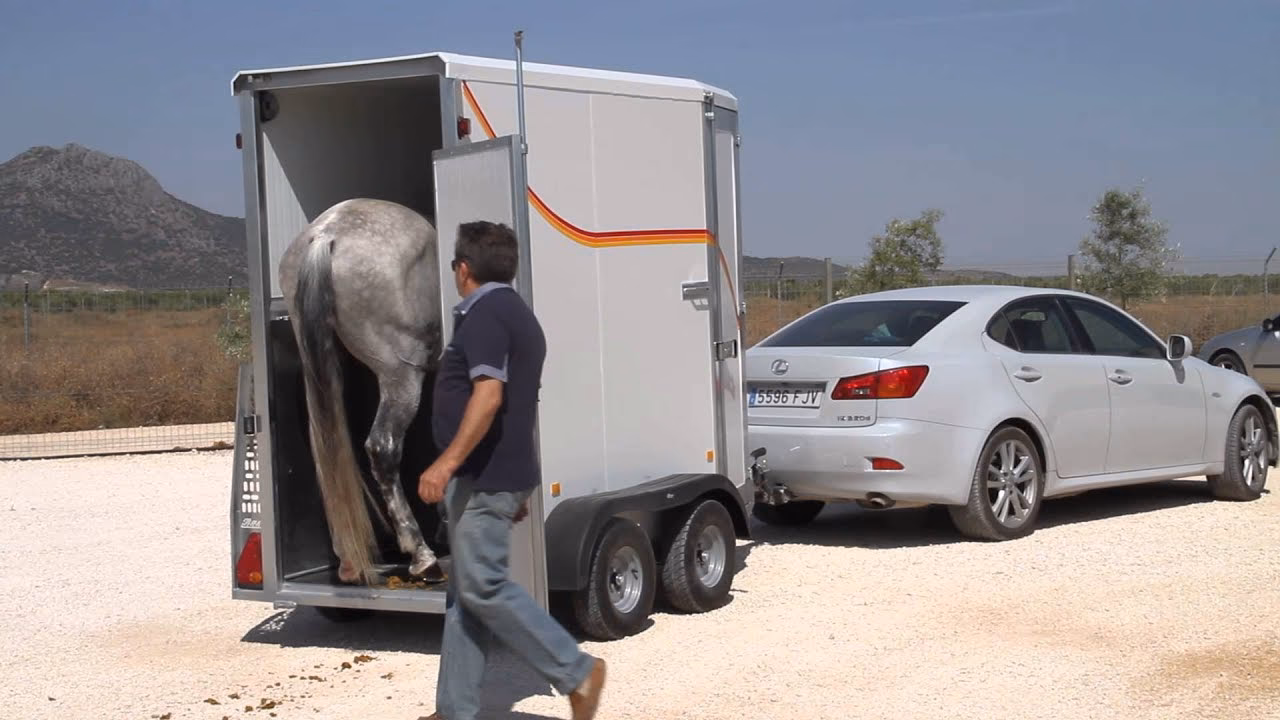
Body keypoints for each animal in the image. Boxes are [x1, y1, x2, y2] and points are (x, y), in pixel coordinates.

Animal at [277, 197, 444, 586]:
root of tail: (328, 233)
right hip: (401, 376)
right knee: (382, 447)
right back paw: (421, 555)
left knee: (329, 451)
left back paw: (350, 562)